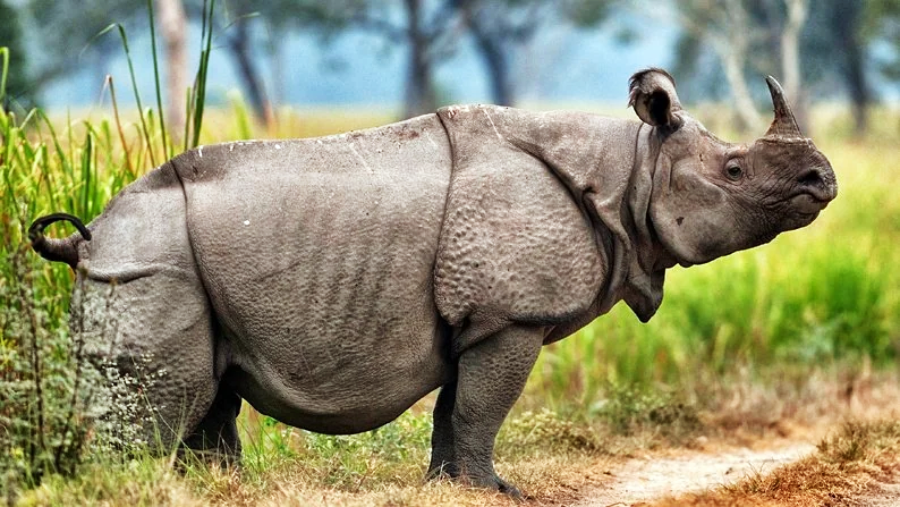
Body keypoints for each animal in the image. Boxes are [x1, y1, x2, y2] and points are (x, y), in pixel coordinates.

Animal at [30, 69, 836, 496]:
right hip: (144, 261)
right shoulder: (510, 313)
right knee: (164, 405)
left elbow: (457, 407)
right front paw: (498, 491)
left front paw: (453, 487)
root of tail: (87, 237)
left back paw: (215, 488)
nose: (822, 180)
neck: (629, 170)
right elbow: (483, 406)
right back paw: (127, 486)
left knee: (211, 395)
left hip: (164, 261)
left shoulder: (479, 318)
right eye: (735, 169)